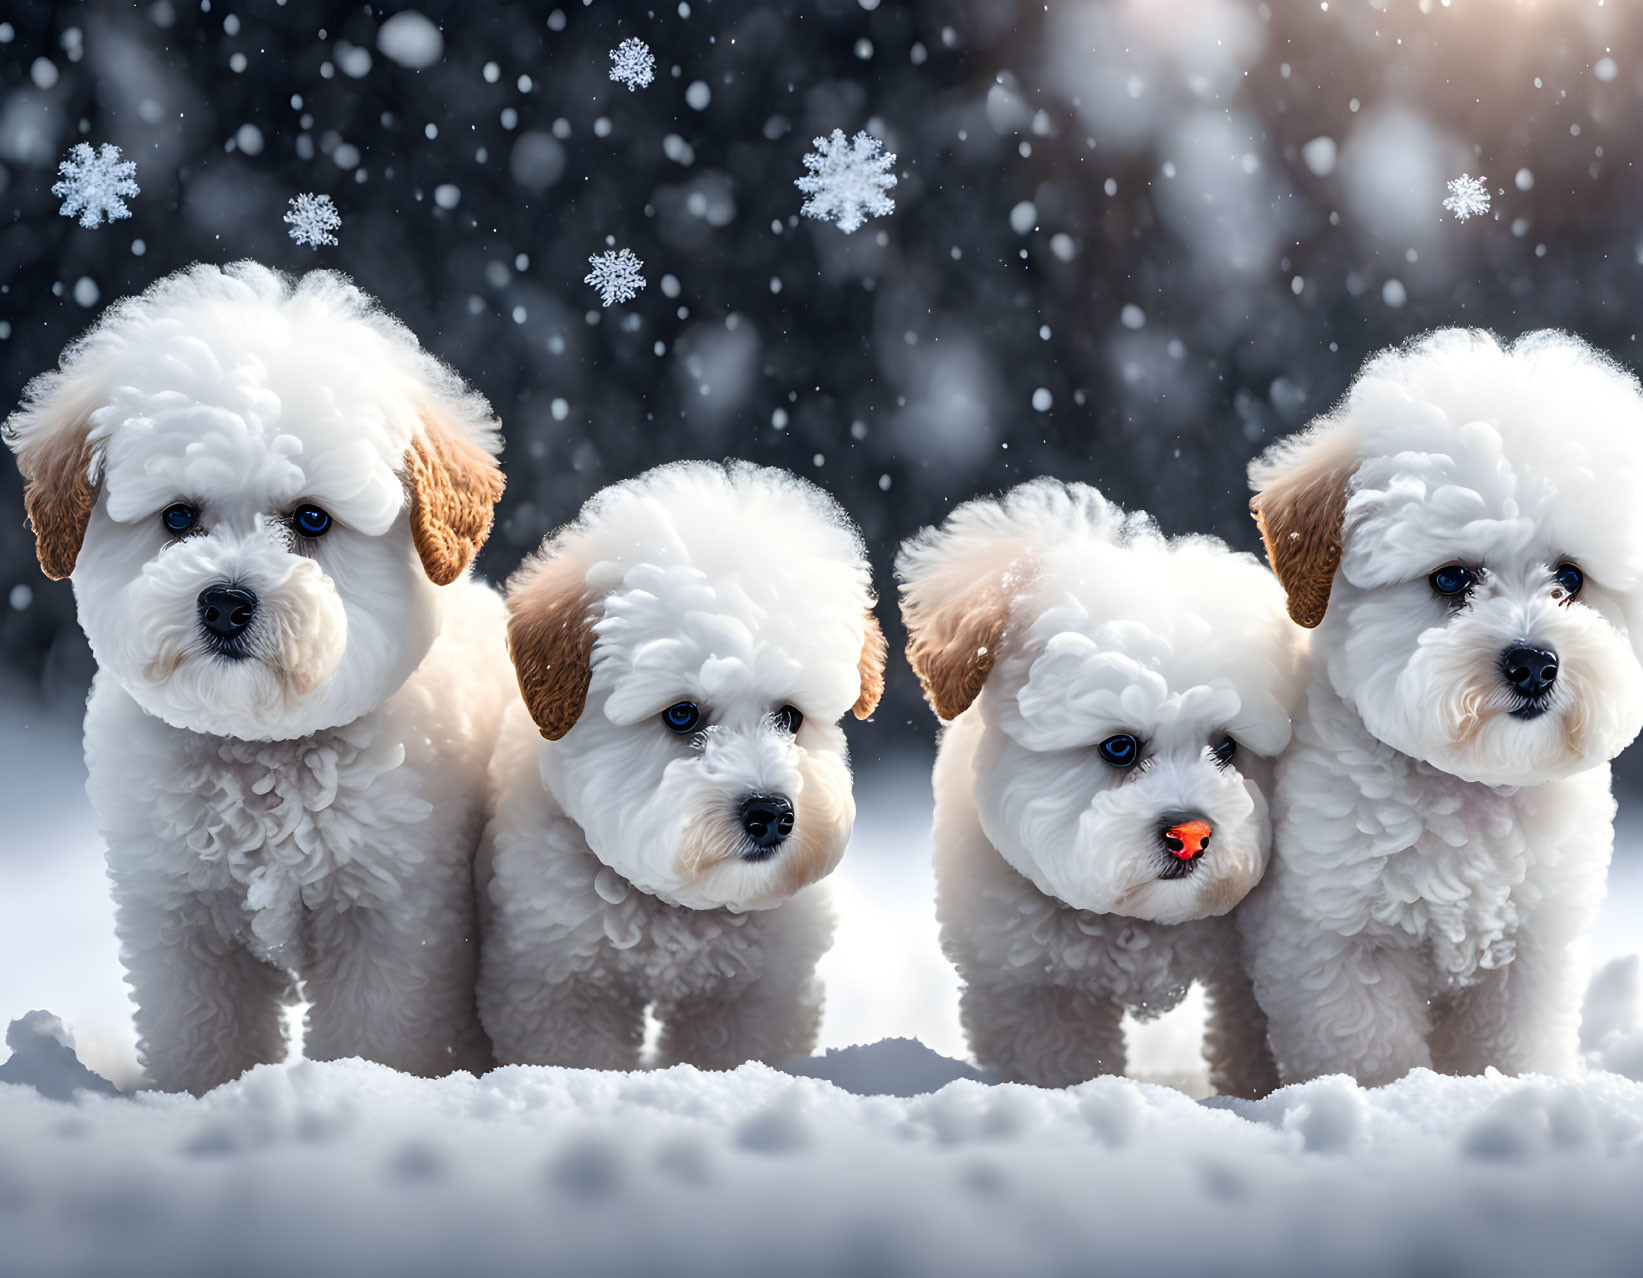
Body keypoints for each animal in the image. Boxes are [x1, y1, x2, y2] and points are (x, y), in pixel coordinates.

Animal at [3, 264, 512, 1090]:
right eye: (179, 518)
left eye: (311, 520)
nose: (225, 602)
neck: (261, 752)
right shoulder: (183, 926)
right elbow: (206, 1042)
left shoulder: (393, 924)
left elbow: (380, 1037)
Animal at [476, 456, 887, 1064]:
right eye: (682, 715)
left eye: (790, 718)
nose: (772, 814)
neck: (672, 912)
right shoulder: (562, 988)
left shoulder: (753, 997)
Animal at [900, 479, 1294, 1097]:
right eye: (1119, 747)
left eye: (1227, 748)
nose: (1191, 835)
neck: (1135, 924)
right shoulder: (1035, 990)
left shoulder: (1244, 977)